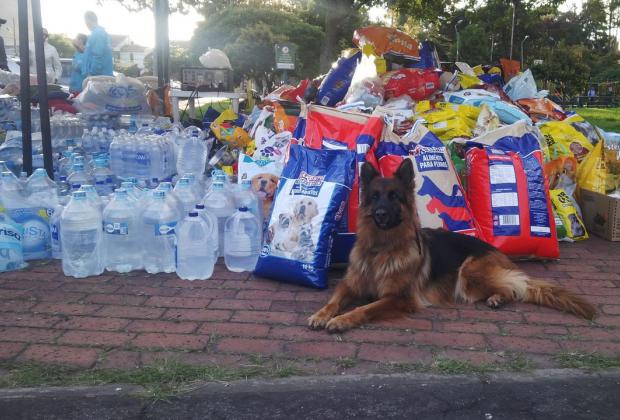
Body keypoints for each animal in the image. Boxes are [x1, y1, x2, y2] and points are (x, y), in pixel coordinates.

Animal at [310, 159, 596, 334]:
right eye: (375, 196)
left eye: (394, 197)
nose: (380, 214)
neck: (381, 249)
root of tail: (499, 253)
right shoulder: (350, 284)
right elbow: (333, 300)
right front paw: (322, 314)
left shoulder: (399, 298)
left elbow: (365, 308)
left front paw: (342, 320)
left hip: (468, 271)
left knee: (514, 288)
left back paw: (498, 297)